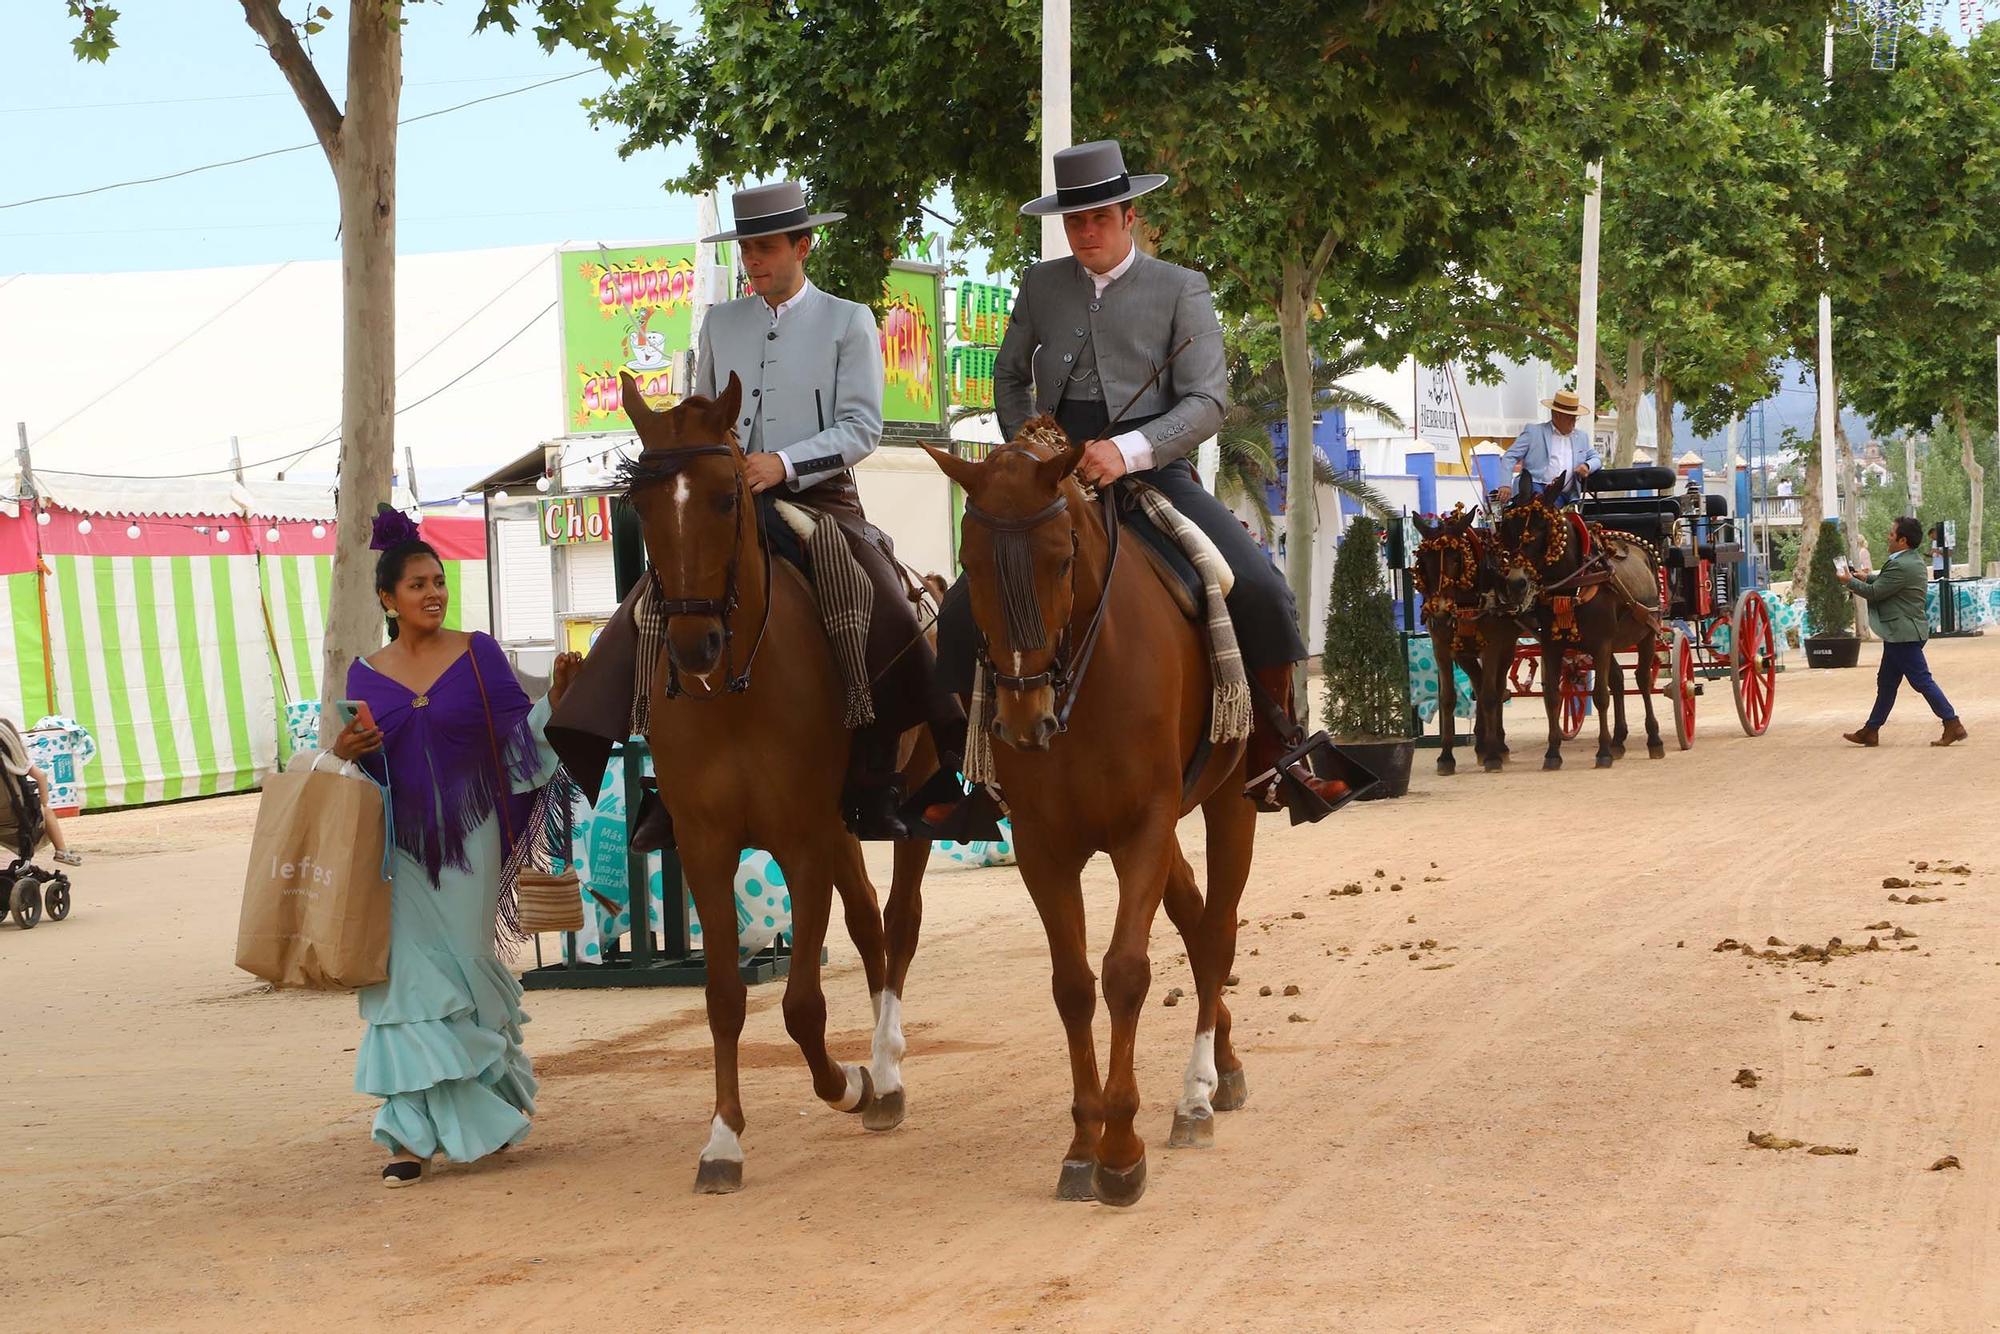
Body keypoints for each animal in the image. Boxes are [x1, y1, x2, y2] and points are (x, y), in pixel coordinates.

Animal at [616, 370, 936, 1192]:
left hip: (907, 808)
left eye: (728, 496)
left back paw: (888, 1072)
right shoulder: (707, 846)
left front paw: (850, 1084)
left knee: (899, 921)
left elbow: (799, 1006)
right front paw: (723, 1139)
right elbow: (726, 996)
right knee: (868, 921)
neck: (736, 691)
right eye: (641, 505)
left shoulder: (801, 841)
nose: (694, 644)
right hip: (842, 824)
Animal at [920, 420, 1248, 1208]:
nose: (1023, 718)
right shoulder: (1044, 846)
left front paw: (1121, 1150)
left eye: (1062, 557)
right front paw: (1081, 1145)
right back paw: (1218, 1067)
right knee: (1196, 923)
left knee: (1217, 932)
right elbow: (1072, 985)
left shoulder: (1143, 828)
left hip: (1230, 798)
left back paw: (1198, 1092)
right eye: (970, 564)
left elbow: (1126, 971)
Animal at [1496, 480, 1664, 772]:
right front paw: (1553, 753)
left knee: (1642, 680)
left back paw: (1653, 739)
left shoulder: (1601, 644)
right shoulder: (1552, 646)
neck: (1572, 584)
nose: (1516, 583)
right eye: (1509, 528)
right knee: (1618, 679)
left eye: (1542, 528)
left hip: (1646, 632)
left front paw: (1603, 752)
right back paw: (1619, 740)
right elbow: (1552, 696)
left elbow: (1600, 696)